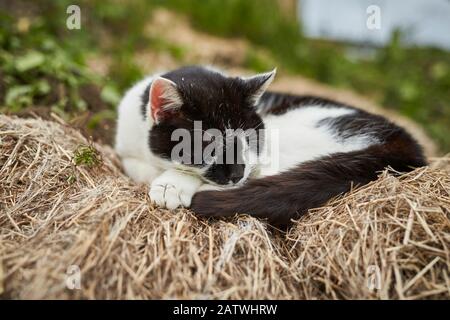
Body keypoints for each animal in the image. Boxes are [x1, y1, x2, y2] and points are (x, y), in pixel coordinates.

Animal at [115, 65, 426, 226]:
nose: (237, 173)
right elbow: (135, 166)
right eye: (207, 145)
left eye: (249, 139)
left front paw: (173, 184)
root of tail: (405, 141)